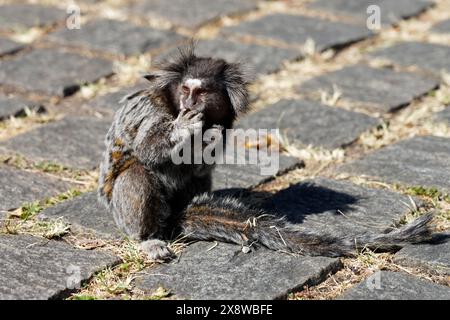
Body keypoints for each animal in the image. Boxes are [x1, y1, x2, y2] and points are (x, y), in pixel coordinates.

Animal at [98, 46, 432, 262]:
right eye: (186, 90)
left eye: (202, 92)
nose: (190, 104)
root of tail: (174, 216)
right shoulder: (150, 108)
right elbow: (147, 148)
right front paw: (181, 128)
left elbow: (202, 160)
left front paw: (206, 137)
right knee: (137, 173)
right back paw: (147, 238)